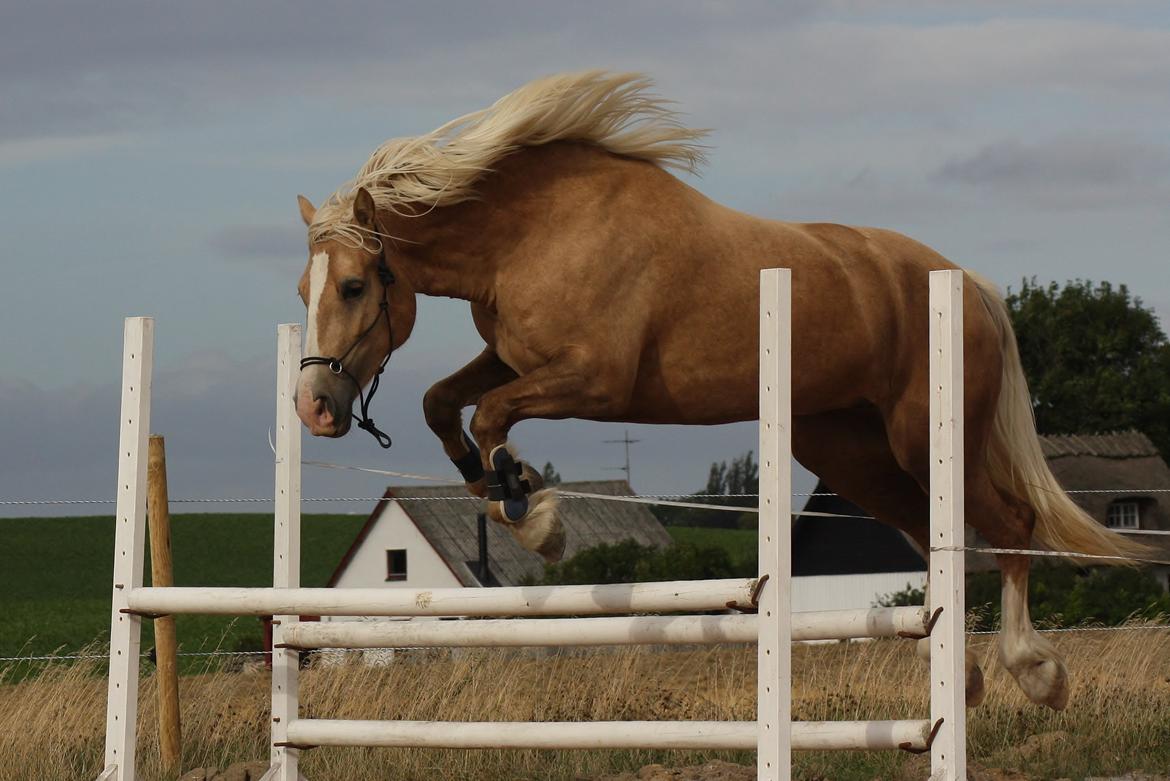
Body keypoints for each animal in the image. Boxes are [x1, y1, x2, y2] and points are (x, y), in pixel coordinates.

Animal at [294, 71, 1141, 706]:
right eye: (305, 288)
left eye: (354, 285)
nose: (315, 407)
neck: (528, 230)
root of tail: (971, 284)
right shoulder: (513, 356)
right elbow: (445, 400)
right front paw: (495, 486)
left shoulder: (593, 378)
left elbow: (494, 412)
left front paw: (537, 517)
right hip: (850, 451)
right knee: (933, 532)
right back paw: (956, 677)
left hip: (925, 432)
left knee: (1008, 521)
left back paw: (1036, 672)